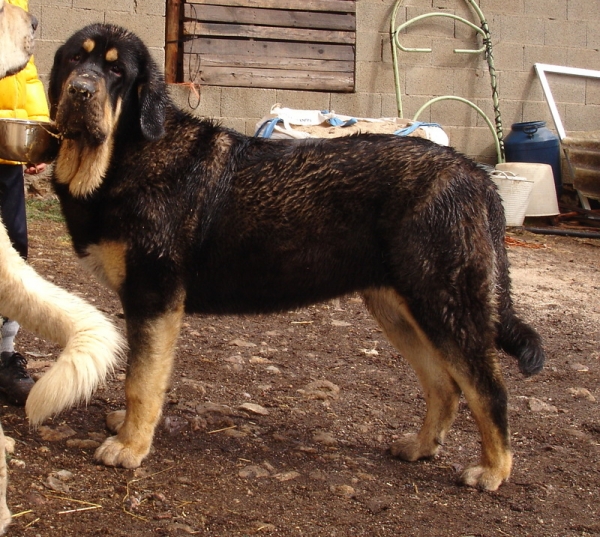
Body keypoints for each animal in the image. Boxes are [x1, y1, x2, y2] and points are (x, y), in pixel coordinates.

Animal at [49, 22, 548, 490]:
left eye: (117, 71)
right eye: (75, 59)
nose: (80, 90)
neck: (128, 153)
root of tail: (476, 175)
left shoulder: (154, 297)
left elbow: (142, 381)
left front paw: (131, 445)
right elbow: (140, 374)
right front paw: (129, 430)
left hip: (447, 306)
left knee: (488, 390)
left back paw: (493, 471)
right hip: (400, 309)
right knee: (444, 387)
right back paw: (421, 447)